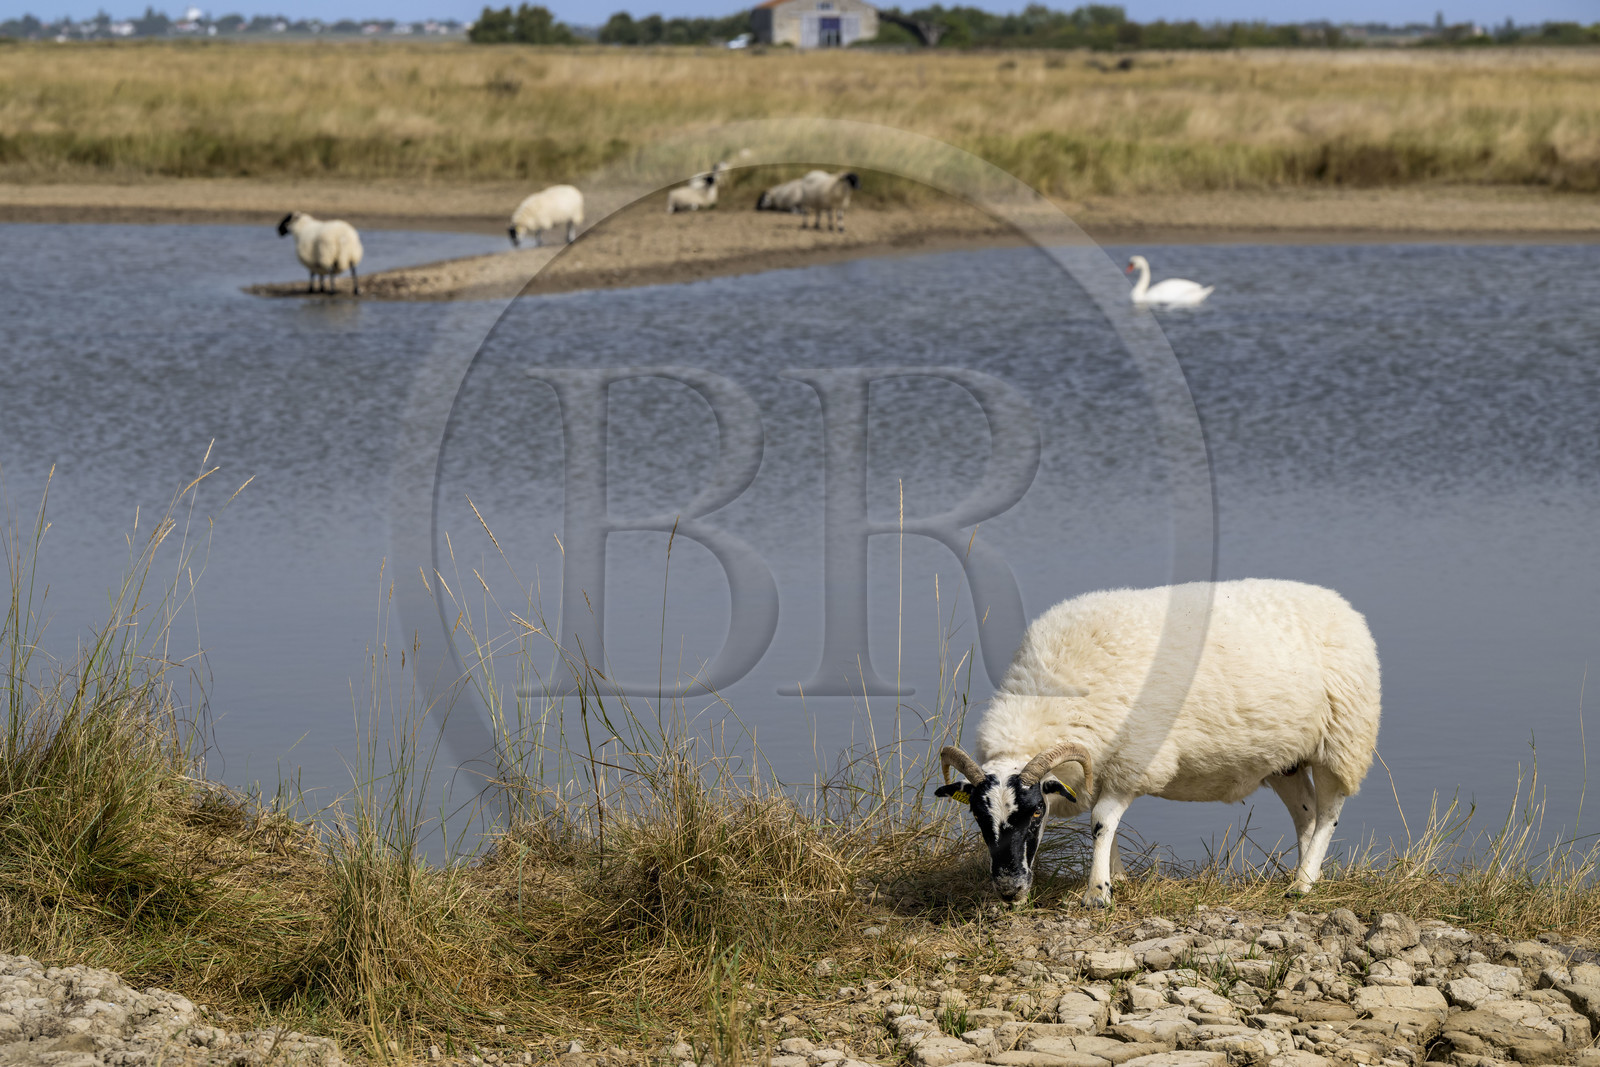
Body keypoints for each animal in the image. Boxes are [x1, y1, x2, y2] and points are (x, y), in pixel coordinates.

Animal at [934, 578, 1381, 908]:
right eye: (977, 816)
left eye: (1037, 812)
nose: (1009, 891)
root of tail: (1342, 606)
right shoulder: (1100, 764)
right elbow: (1100, 821)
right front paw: (1117, 878)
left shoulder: (1133, 761)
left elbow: (1101, 821)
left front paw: (1098, 893)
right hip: (1286, 760)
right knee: (1306, 816)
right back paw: (1304, 874)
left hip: (1341, 743)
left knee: (1328, 815)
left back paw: (1303, 885)